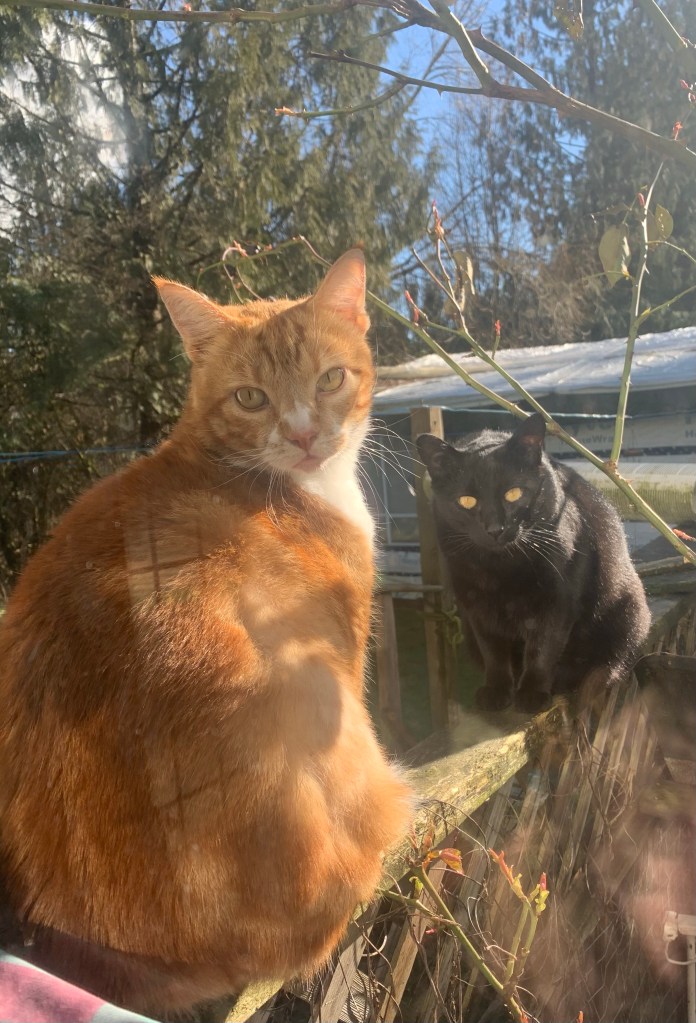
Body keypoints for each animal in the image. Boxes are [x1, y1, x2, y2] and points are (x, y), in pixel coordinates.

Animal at [416, 413, 650, 714]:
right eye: (466, 501)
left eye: (514, 494)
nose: (495, 528)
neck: (502, 568)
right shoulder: (477, 607)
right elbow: (494, 652)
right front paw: (497, 690)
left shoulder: (557, 602)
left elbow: (542, 649)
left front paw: (531, 694)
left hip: (629, 612)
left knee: (613, 662)